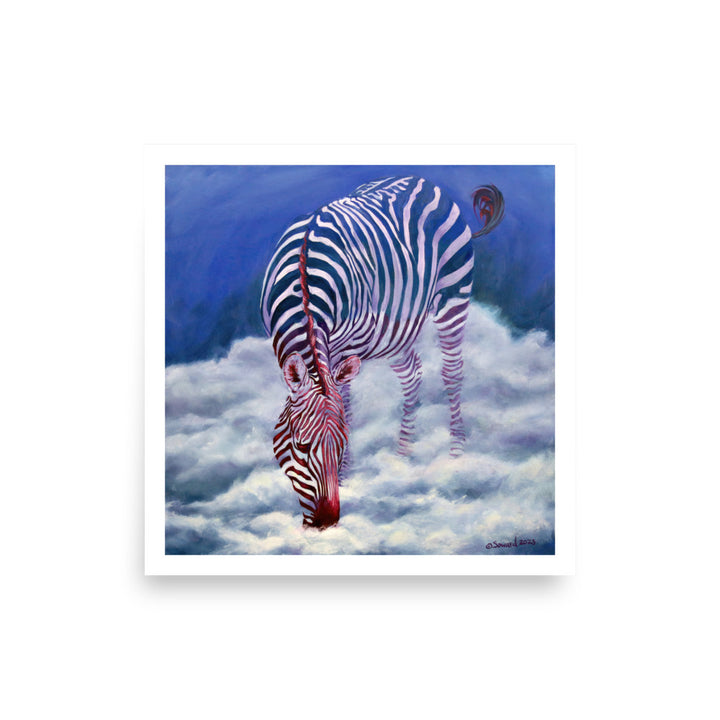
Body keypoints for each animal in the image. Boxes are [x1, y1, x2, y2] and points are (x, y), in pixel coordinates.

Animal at [260, 176, 504, 529]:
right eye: (301, 447)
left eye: (342, 444)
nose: (328, 522)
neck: (303, 279)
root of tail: (425, 182)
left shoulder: (342, 347)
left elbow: (346, 405)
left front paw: (345, 475)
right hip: (395, 328)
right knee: (412, 375)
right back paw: (402, 457)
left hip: (453, 295)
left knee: (452, 372)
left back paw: (455, 454)